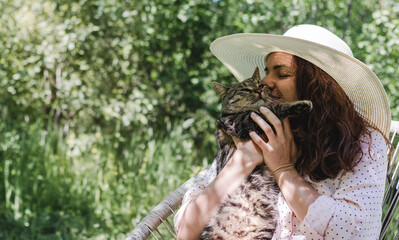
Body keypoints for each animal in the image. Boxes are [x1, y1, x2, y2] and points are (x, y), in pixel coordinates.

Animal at [200, 67, 312, 240]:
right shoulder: (242, 121)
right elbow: (273, 109)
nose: (259, 90)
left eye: (260, 84)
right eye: (245, 89)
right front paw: (301, 104)